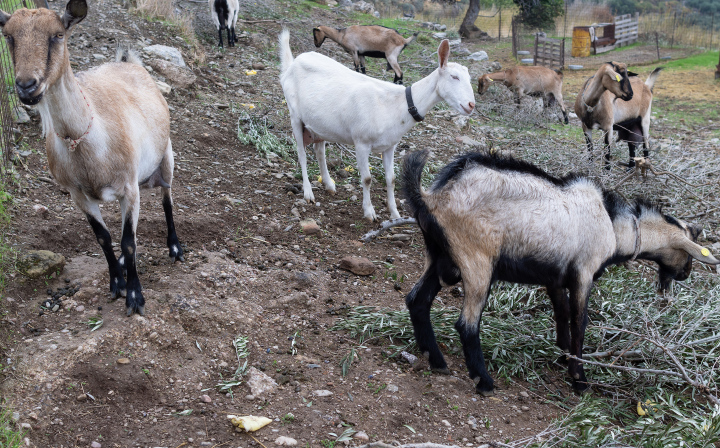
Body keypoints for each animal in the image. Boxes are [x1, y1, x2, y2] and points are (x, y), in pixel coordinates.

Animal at [1, 0, 186, 316]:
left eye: (58, 35)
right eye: (9, 36)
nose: (27, 86)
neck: (87, 141)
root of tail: (128, 62)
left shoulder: (129, 187)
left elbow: (128, 242)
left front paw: (135, 297)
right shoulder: (78, 195)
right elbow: (104, 237)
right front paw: (117, 283)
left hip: (167, 158)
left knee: (167, 200)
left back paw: (174, 248)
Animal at [278, 28, 476, 221]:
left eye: (469, 79)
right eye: (454, 77)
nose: (471, 105)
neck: (397, 105)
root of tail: (291, 64)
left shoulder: (390, 146)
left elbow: (391, 179)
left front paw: (395, 215)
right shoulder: (361, 142)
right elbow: (366, 178)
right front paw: (369, 212)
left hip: (319, 125)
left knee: (319, 151)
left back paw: (329, 184)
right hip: (295, 115)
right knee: (302, 154)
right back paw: (308, 193)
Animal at [402, 150, 716, 396]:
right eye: (690, 251)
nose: (685, 275)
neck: (613, 226)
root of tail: (432, 197)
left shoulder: (553, 277)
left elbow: (562, 313)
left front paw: (563, 357)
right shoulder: (583, 274)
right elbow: (579, 321)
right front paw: (579, 379)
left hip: (439, 259)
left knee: (417, 300)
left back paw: (436, 361)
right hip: (476, 262)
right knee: (467, 324)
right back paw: (484, 381)